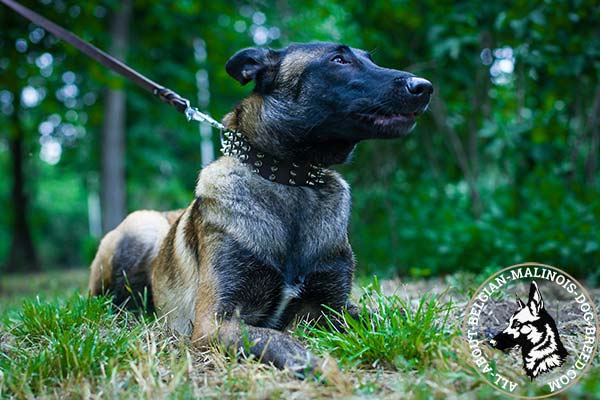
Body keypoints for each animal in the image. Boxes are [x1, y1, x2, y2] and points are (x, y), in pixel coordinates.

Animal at [89, 42, 434, 374]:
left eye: (368, 59)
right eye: (338, 60)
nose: (424, 87)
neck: (293, 180)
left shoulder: (334, 306)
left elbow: (388, 316)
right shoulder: (214, 321)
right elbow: (279, 339)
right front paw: (320, 367)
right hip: (140, 229)